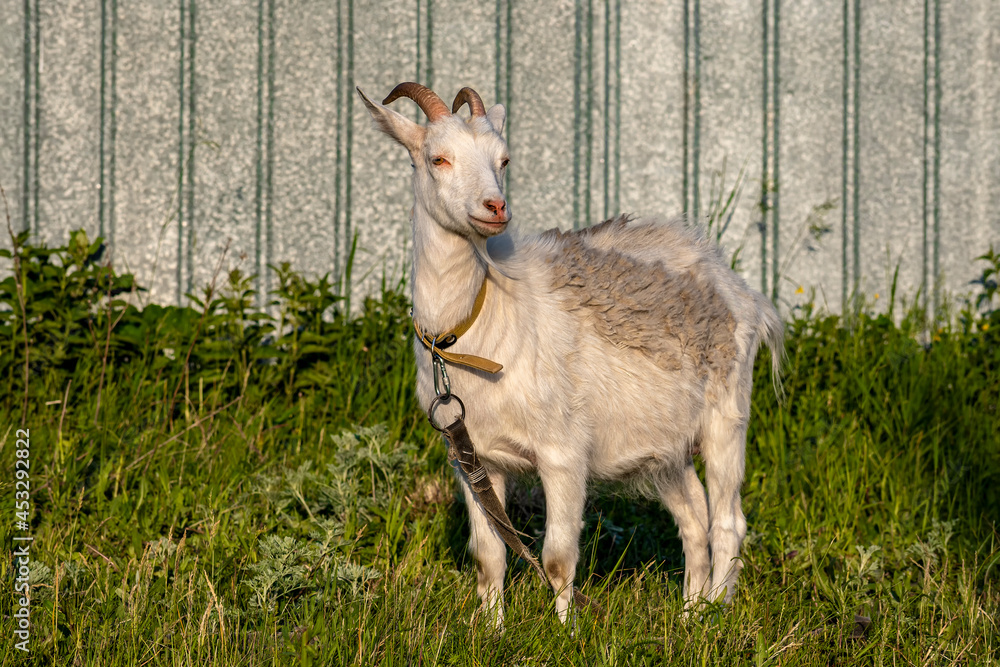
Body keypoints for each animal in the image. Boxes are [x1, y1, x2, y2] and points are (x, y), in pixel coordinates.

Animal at [358, 83, 783, 629]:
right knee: (694, 518)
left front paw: (565, 632)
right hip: (664, 444)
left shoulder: (563, 452)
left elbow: (558, 558)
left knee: (728, 519)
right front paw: (491, 629)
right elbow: (489, 554)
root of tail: (736, 286)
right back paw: (690, 614)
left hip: (727, 416)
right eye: (438, 158)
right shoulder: (473, 459)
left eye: (504, 159)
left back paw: (717, 615)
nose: (495, 207)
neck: (482, 322)